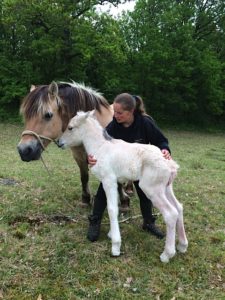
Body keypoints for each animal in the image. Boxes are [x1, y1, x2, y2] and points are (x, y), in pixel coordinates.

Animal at [58, 110, 188, 262]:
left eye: (70, 128)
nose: (59, 142)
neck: (101, 147)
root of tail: (170, 164)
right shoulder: (113, 181)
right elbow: (112, 204)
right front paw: (110, 234)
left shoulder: (109, 180)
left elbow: (112, 209)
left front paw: (115, 246)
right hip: (166, 188)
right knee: (179, 207)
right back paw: (182, 245)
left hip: (152, 189)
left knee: (171, 213)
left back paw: (167, 254)